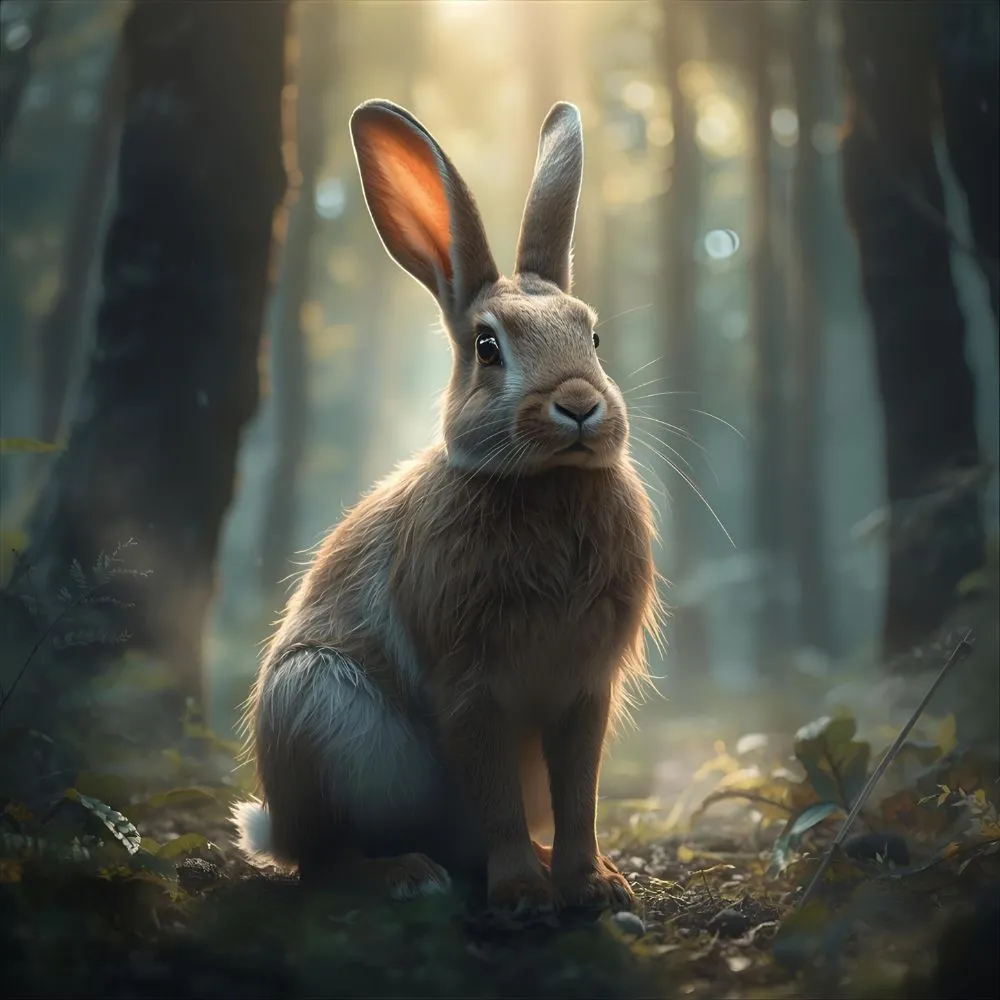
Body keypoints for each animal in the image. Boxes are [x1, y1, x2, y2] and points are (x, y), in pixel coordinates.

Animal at [231, 98, 662, 916]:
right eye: (489, 348)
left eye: (593, 336)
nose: (580, 405)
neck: (544, 482)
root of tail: (272, 824)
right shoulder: (471, 682)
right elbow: (495, 793)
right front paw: (523, 895)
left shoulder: (586, 687)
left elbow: (581, 794)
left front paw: (594, 885)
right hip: (315, 708)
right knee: (325, 861)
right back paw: (406, 874)